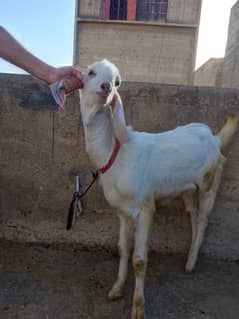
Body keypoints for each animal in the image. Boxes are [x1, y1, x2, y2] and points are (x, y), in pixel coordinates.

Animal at [79, 60, 238, 319]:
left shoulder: (145, 208)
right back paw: (188, 260)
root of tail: (214, 138)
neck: (116, 152)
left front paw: (138, 307)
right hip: (187, 190)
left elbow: (139, 260)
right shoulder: (122, 212)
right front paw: (116, 289)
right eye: (91, 72)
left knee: (204, 218)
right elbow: (122, 249)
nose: (106, 88)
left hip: (210, 180)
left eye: (117, 82)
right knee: (193, 215)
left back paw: (192, 263)